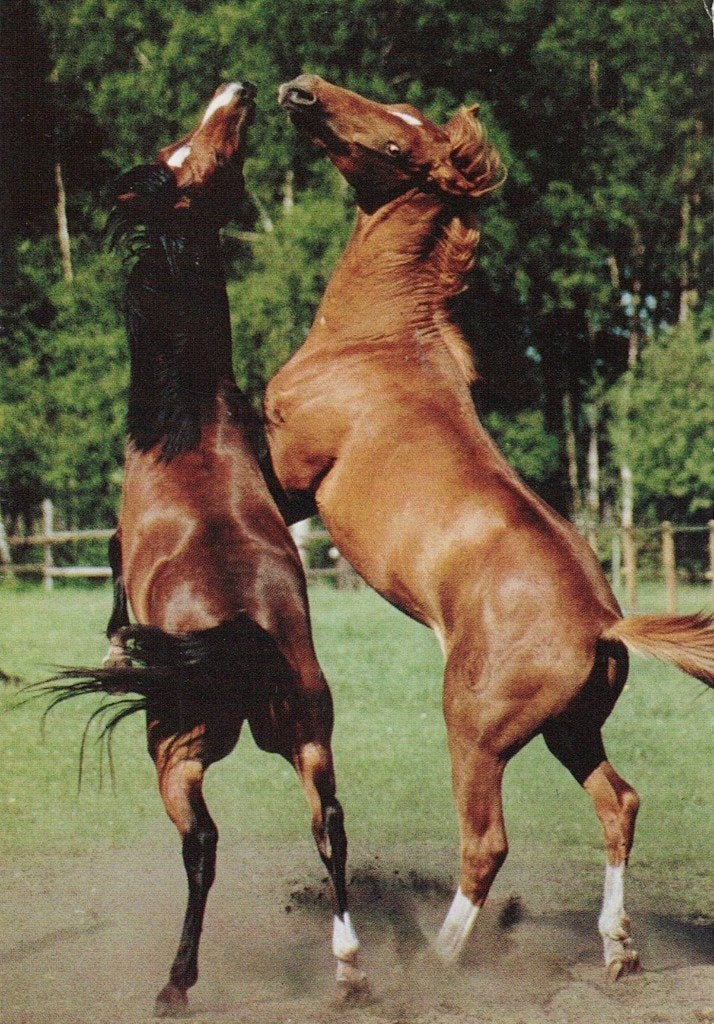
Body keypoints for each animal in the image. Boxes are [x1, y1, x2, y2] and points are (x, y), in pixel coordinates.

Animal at [51, 82, 365, 1016]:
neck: (187, 417)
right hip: (307, 733)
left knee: (203, 846)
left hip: (176, 754)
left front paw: (116, 649)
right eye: (191, 151)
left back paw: (176, 982)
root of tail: (245, 629)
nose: (241, 92)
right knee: (329, 824)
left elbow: (111, 579)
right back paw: (348, 966)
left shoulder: (119, 539)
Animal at [265, 74, 714, 979]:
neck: (373, 341)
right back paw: (616, 948)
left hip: (475, 730)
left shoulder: (292, 474)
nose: (303, 92)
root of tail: (605, 622)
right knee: (620, 803)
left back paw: (436, 965)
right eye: (390, 108)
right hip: (569, 731)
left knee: (486, 844)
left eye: (398, 143)